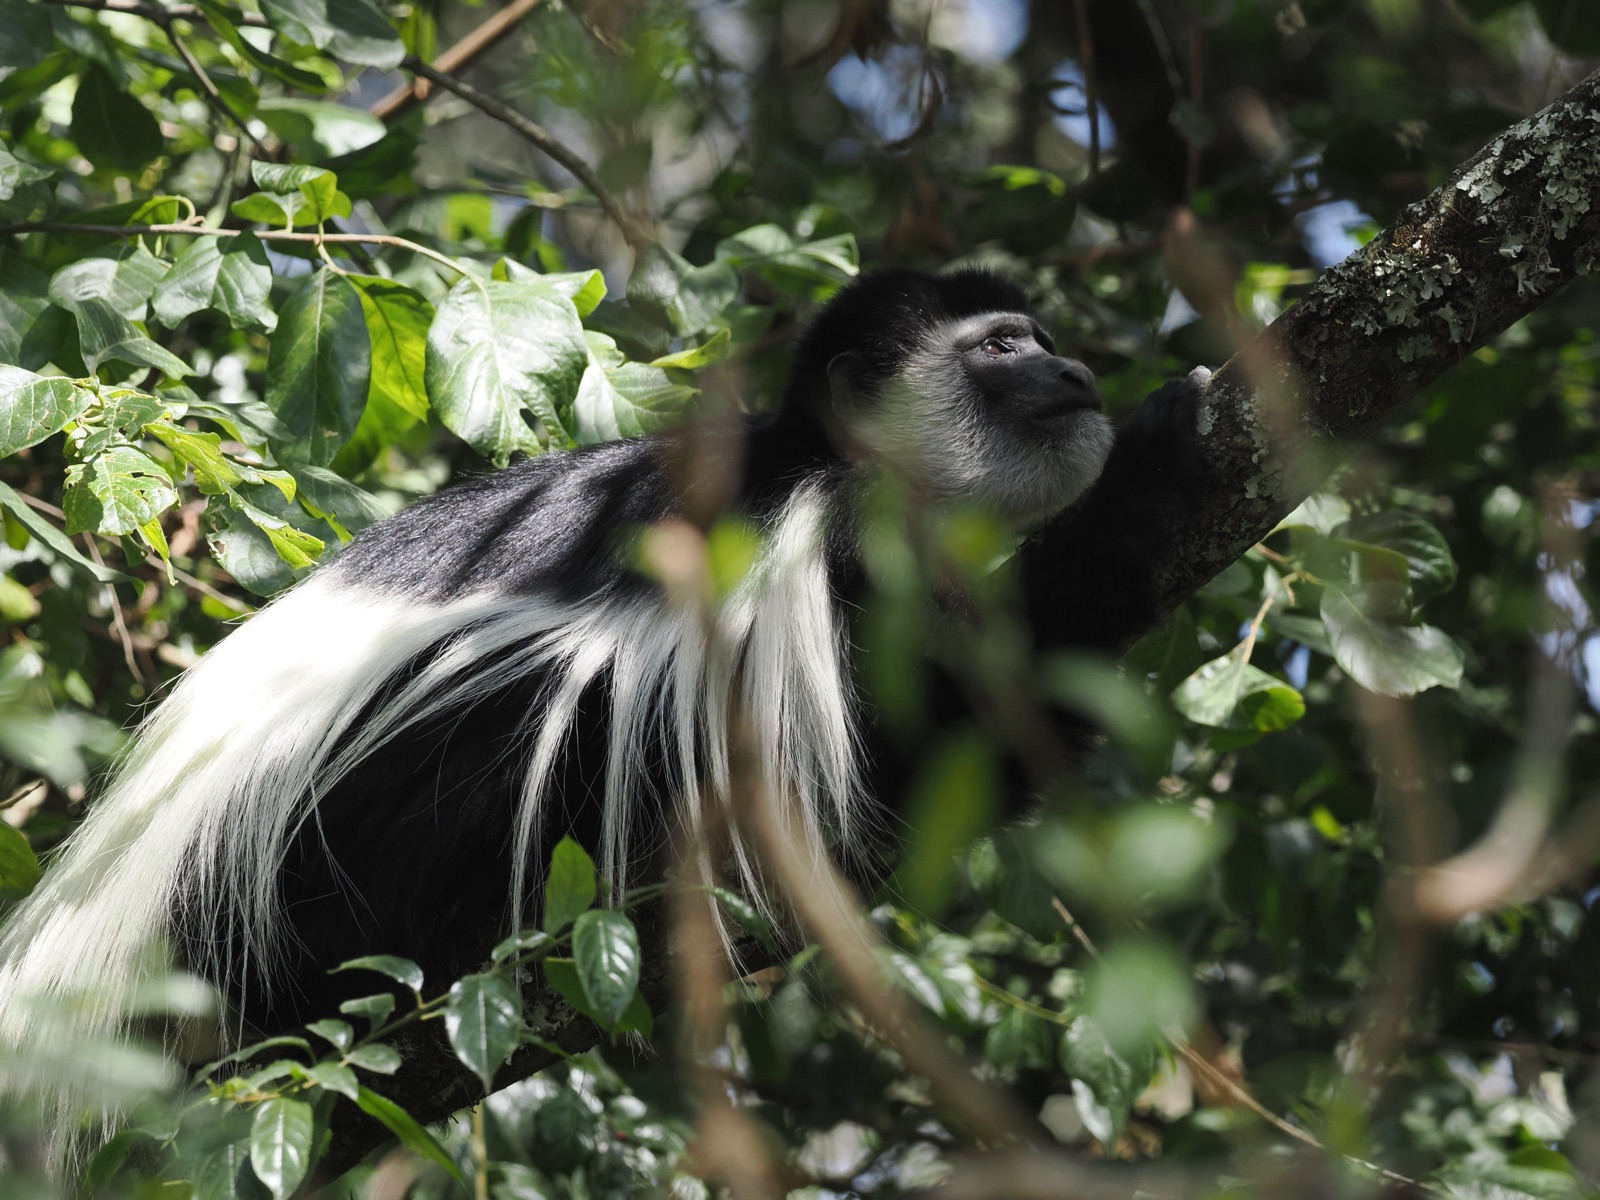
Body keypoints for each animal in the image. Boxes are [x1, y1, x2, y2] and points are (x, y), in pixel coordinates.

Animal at [0, 266, 1207, 1079]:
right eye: (1000, 348)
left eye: (1039, 340)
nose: (1076, 370)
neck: (822, 465)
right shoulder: (791, 566)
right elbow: (886, 790)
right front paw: (1154, 474)